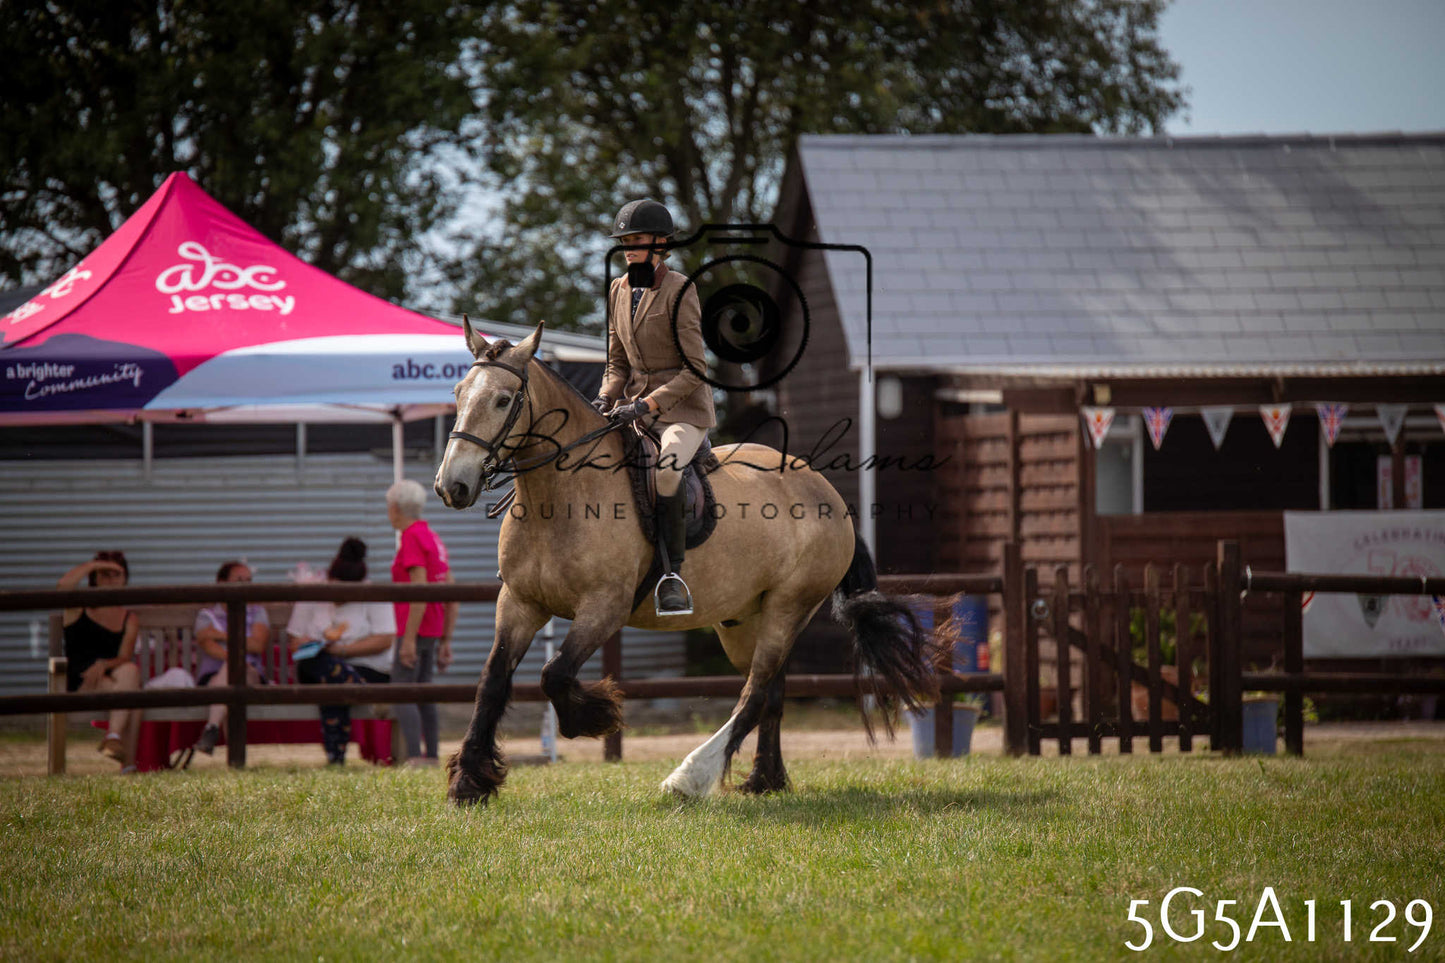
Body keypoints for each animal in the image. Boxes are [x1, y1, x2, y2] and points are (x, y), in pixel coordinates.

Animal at [434, 318, 940, 805]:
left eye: (503, 400)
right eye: (458, 393)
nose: (451, 486)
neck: (559, 498)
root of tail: (827, 492)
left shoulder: (604, 607)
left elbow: (554, 673)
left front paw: (593, 718)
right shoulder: (519, 603)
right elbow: (492, 682)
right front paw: (469, 782)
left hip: (789, 606)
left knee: (755, 692)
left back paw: (690, 777)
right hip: (746, 620)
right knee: (772, 690)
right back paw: (764, 779)